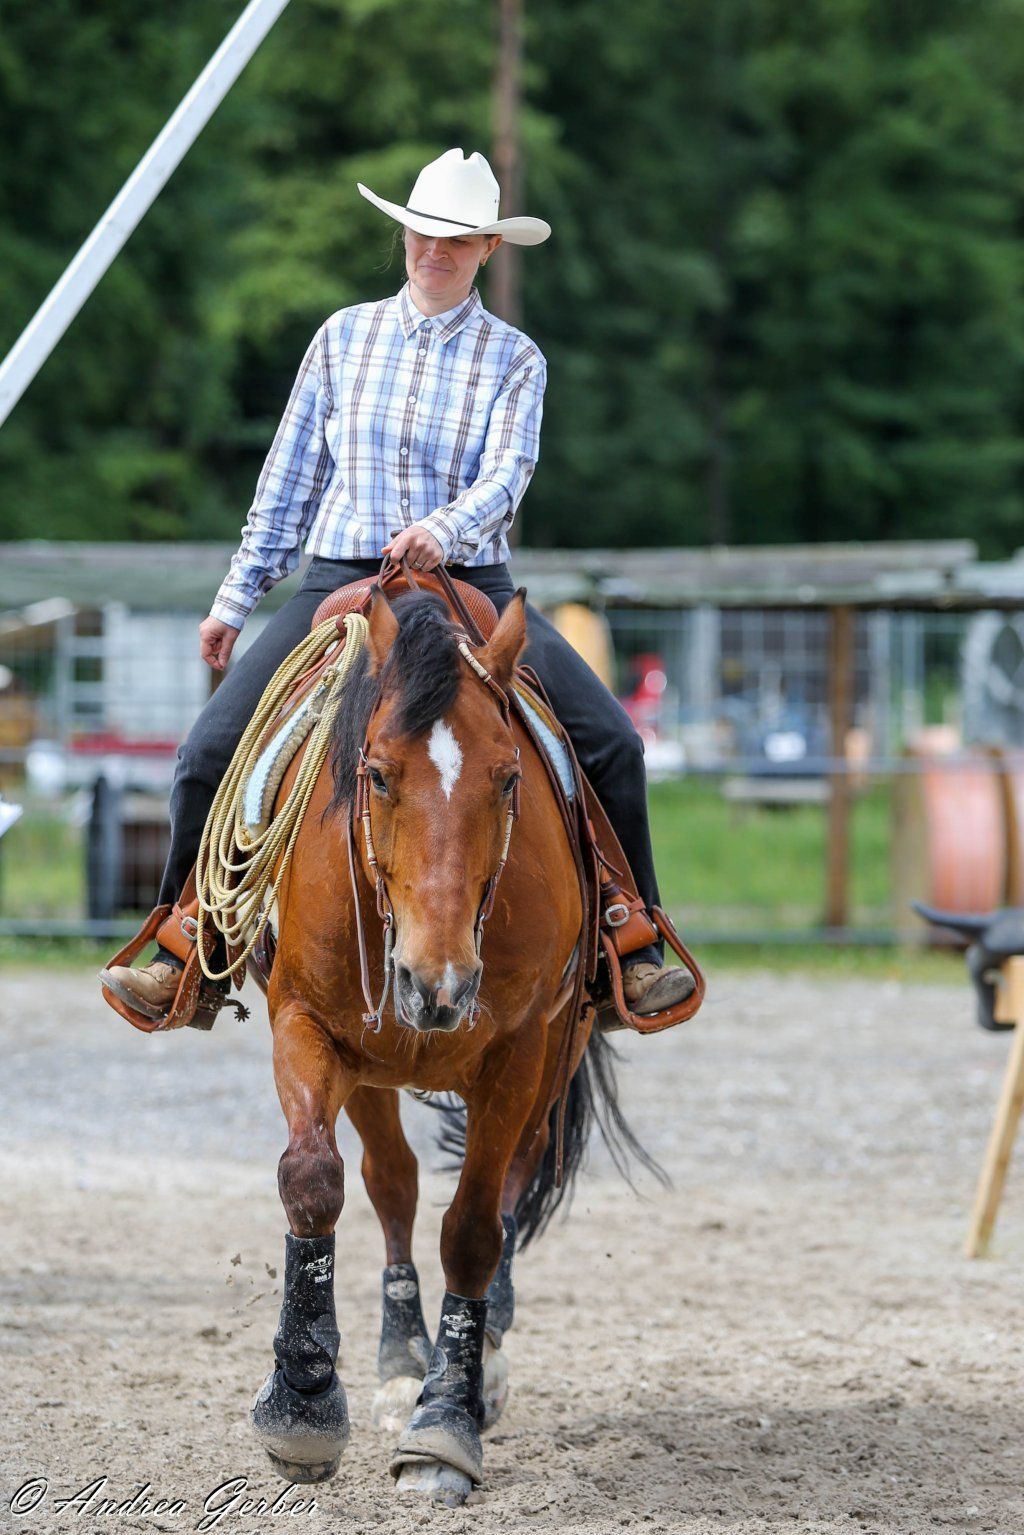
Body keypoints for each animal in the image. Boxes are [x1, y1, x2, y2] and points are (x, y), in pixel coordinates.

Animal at [248, 581, 657, 1506]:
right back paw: (401, 1360)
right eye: (375, 773)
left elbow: (474, 1226)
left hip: (555, 1058)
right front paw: (304, 1404)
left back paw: (477, 1366)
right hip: (371, 1070)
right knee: (391, 1182)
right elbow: (315, 1179)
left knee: (506, 1185)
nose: (437, 981)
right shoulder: (306, 1020)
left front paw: (445, 1425)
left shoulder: (522, 1049)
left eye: (508, 777)